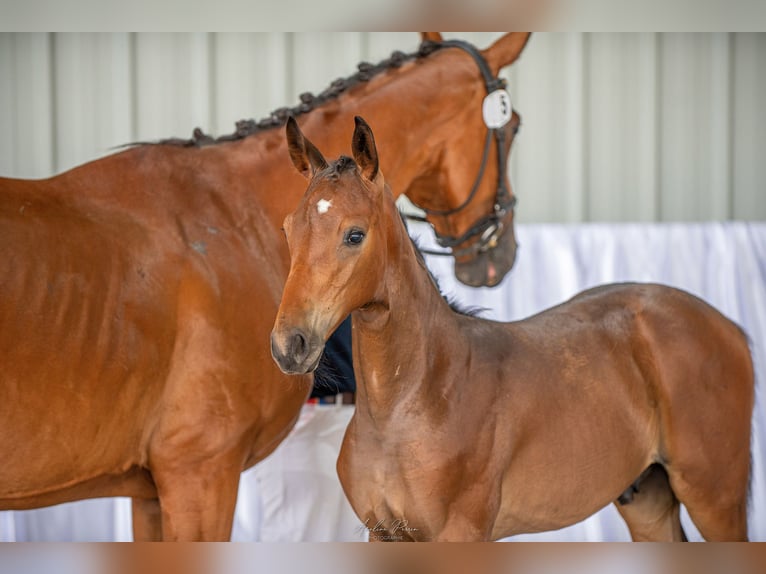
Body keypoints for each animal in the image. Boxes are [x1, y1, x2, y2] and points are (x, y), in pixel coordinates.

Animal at [272, 118, 756, 544]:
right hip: (647, 499)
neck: (420, 395)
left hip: (715, 496)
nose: (288, 345)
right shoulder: (385, 534)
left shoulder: (460, 534)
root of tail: (729, 328)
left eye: (354, 235)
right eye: (288, 229)